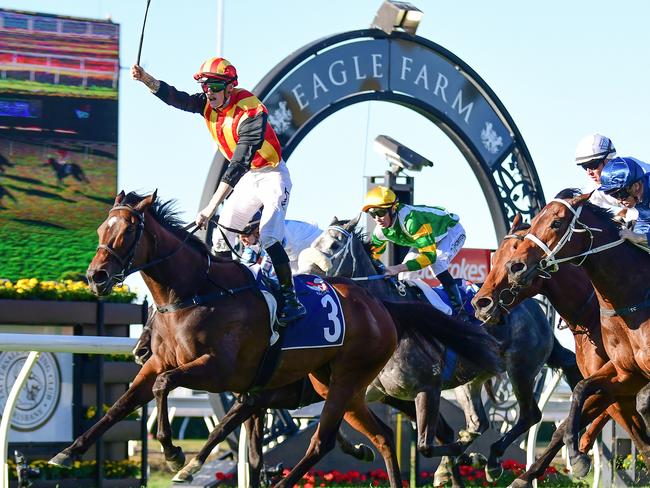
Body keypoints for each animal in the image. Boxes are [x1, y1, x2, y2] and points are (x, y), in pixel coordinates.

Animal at [296, 216, 580, 480]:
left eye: (334, 244)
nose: (303, 280)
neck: (395, 319)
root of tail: (535, 309)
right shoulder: (367, 390)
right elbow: (332, 425)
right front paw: (359, 450)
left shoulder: (428, 387)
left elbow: (425, 445)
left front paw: (464, 459)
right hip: (472, 381)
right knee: (479, 421)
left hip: (521, 368)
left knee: (529, 415)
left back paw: (492, 462)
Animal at [470, 206, 648, 484]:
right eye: (496, 254)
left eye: (514, 255)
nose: (481, 303)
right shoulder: (619, 381)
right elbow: (568, 424)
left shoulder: (622, 382)